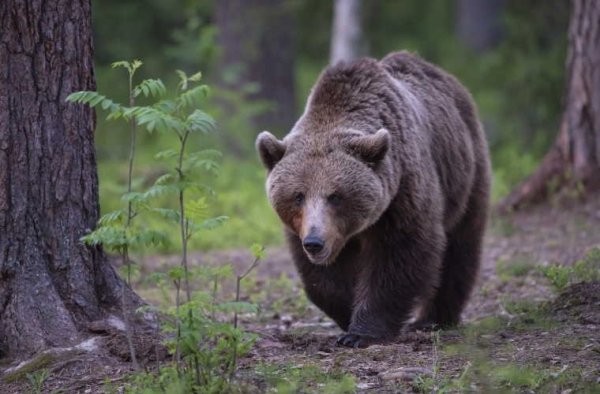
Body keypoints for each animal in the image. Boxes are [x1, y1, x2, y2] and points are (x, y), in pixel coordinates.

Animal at [255, 50, 490, 348]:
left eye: (335, 196)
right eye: (298, 195)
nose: (315, 243)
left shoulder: (401, 192)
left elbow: (400, 255)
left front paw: (360, 332)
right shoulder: (303, 229)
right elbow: (323, 279)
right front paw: (346, 311)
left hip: (464, 171)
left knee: (460, 245)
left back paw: (433, 319)